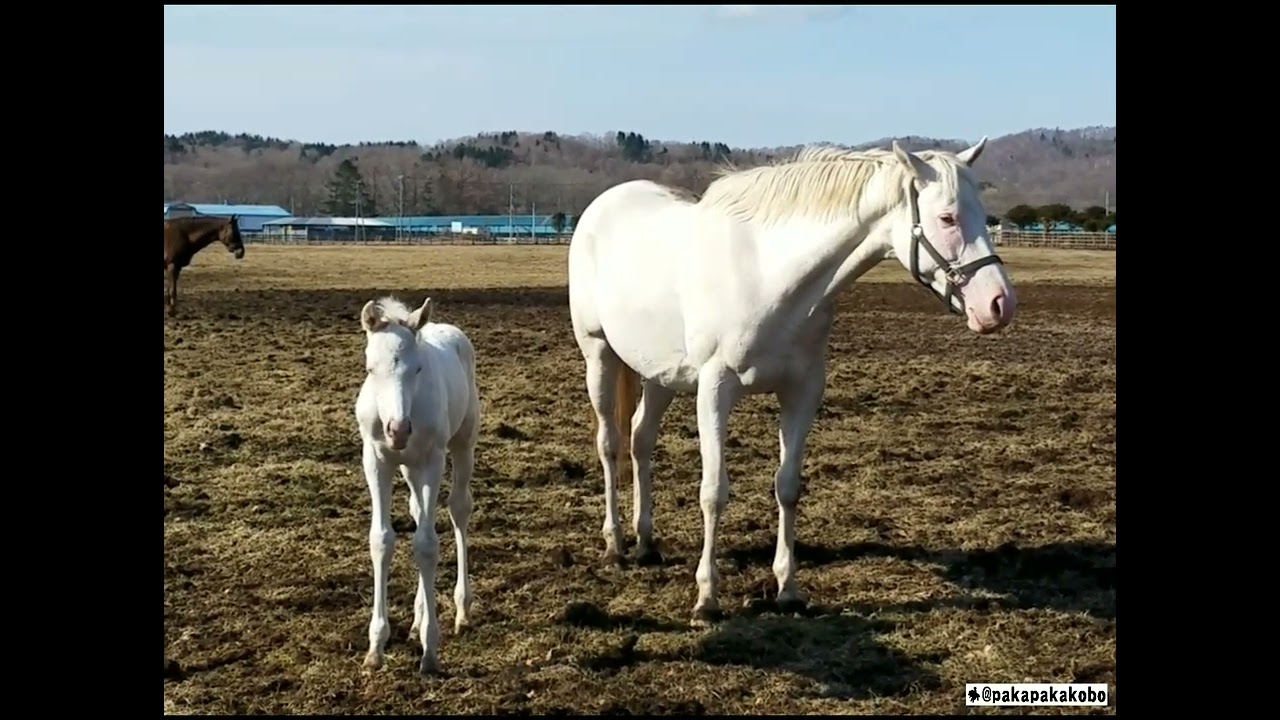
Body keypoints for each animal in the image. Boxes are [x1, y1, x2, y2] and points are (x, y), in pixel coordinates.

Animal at [354, 295, 481, 676]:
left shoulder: (431, 461)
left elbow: (426, 546)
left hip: (462, 445)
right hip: (409, 468)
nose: (398, 430)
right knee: (416, 511)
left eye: (418, 369)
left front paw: (430, 650)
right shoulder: (375, 460)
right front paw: (376, 648)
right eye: (370, 369)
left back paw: (461, 610)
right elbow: (381, 540)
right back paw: (415, 618)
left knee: (458, 509)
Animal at [567, 137, 1017, 627]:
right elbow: (713, 493)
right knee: (610, 444)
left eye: (983, 215)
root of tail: (604, 205)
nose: (1000, 304)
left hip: (660, 374)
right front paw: (707, 598)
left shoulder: (802, 391)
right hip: (599, 355)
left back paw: (646, 543)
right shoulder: (715, 390)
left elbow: (788, 487)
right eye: (947, 217)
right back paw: (615, 545)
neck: (767, 276)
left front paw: (788, 590)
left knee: (640, 439)